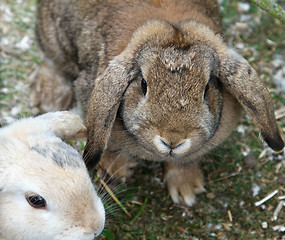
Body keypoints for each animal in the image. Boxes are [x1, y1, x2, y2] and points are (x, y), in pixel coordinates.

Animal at [32, 0, 282, 206]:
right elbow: (109, 144)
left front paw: (186, 190)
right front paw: (118, 170)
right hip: (54, 36)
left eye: (207, 88)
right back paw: (50, 97)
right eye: (143, 84)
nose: (172, 140)